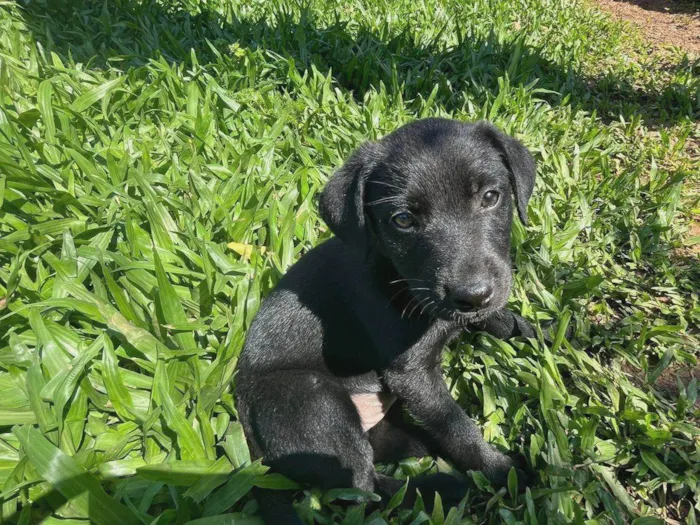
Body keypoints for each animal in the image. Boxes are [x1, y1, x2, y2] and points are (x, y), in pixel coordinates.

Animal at [235, 116, 536, 520]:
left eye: (491, 197)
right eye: (403, 219)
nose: (472, 295)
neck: (399, 279)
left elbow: (495, 321)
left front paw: (532, 330)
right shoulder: (411, 373)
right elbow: (458, 428)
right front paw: (501, 471)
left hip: (382, 432)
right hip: (317, 406)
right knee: (364, 489)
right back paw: (449, 488)